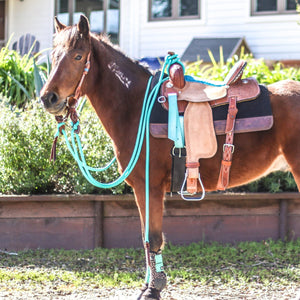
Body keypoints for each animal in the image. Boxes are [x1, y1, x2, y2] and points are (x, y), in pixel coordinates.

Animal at [41, 14, 300, 300]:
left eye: (78, 56)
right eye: (53, 55)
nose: (48, 98)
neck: (134, 106)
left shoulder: (150, 186)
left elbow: (153, 238)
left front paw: (154, 289)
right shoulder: (142, 189)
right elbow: (145, 238)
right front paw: (148, 285)